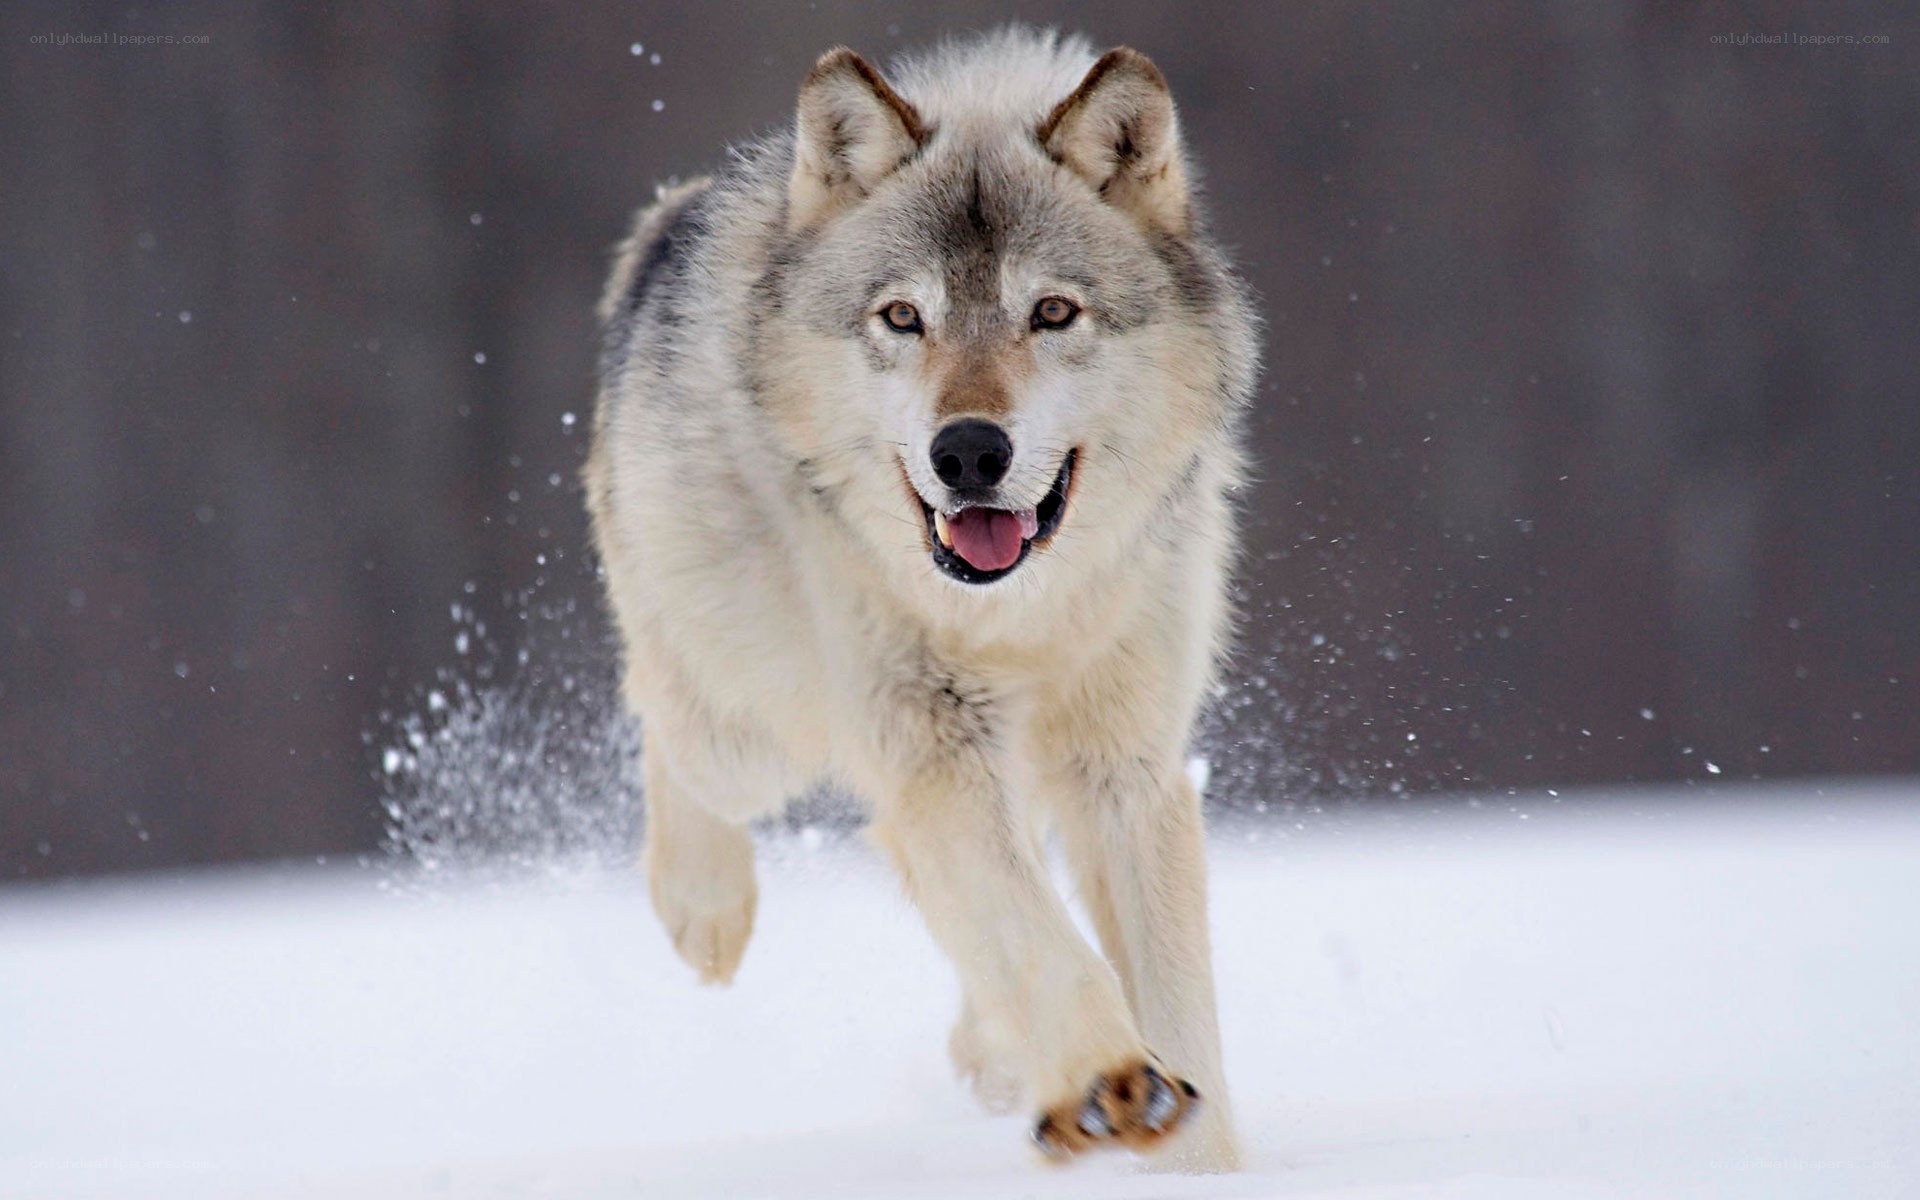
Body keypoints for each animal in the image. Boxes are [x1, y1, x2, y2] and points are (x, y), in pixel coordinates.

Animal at [584, 27, 1257, 1171]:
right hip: (751, 726)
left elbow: (1174, 1005)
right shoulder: (932, 746)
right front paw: (1108, 1081)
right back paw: (704, 910)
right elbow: (1042, 941)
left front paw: (1190, 1157)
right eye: (903, 317)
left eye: (1052, 312)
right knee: (665, 719)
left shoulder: (1126, 770)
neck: (1018, 617)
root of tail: (671, 221)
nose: (969, 452)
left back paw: (995, 1056)